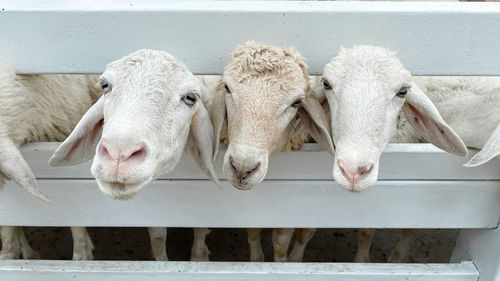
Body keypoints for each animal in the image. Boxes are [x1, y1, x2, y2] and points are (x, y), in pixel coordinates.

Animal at [50, 48, 221, 260]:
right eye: (105, 85)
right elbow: (157, 236)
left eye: (190, 98)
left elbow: (200, 227)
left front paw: (199, 257)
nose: (118, 155)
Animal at [209, 42, 334, 262]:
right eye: (227, 88)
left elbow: (282, 241)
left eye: (296, 103)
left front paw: (284, 262)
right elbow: (253, 230)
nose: (242, 168)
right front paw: (258, 258)